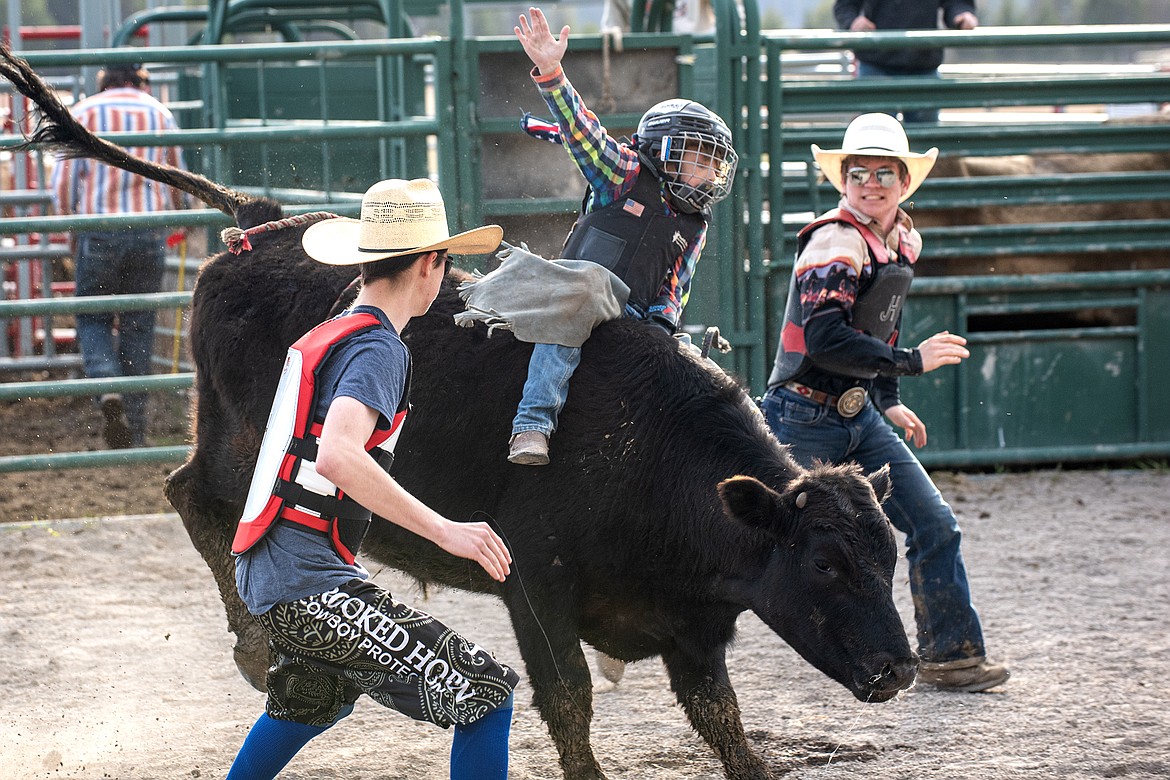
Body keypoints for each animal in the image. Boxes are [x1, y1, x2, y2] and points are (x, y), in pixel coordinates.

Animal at [0, 41, 912, 780]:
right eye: (826, 564)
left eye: (889, 556)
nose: (900, 671)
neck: (658, 457)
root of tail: (262, 221)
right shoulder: (535, 584)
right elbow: (569, 701)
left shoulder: (693, 629)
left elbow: (726, 726)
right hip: (241, 434)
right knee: (197, 495)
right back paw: (257, 647)